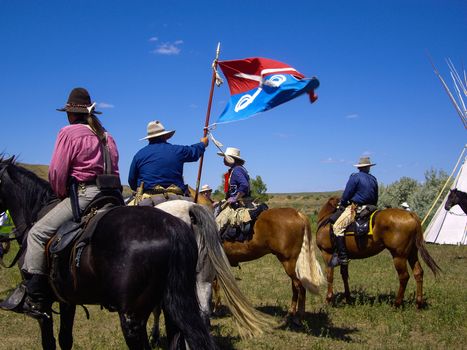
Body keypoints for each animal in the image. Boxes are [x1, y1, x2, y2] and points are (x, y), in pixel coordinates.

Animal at [0, 157, 216, 350]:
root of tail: (174, 224)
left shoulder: (44, 307)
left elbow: (49, 342)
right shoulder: (67, 299)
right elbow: (65, 339)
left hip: (132, 318)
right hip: (178, 302)